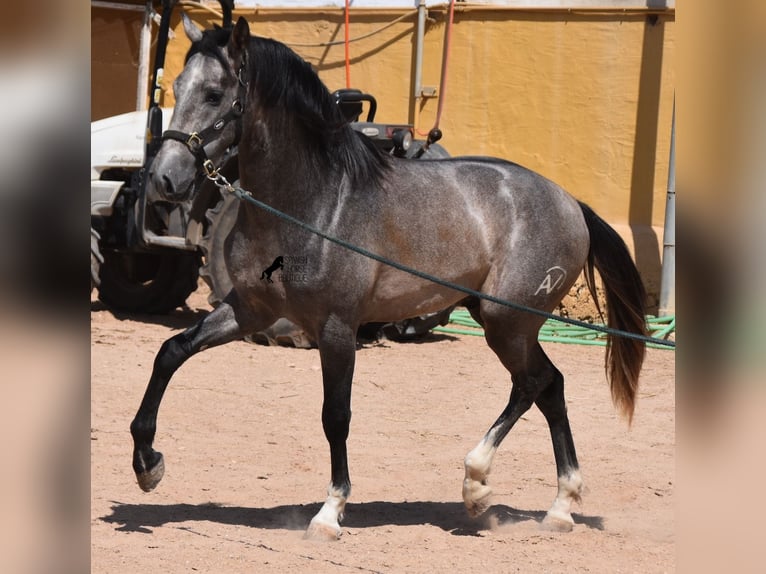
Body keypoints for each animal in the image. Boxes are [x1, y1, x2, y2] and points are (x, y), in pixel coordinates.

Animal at [132, 15, 648, 544]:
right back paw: (555, 505)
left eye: (215, 93)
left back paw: (481, 482)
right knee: (550, 387)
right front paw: (148, 464)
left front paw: (330, 512)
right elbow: (171, 352)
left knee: (533, 384)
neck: (312, 204)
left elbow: (335, 416)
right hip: (501, 321)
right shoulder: (250, 309)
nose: (164, 180)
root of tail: (572, 204)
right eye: (175, 86)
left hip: (508, 322)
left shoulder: (336, 328)